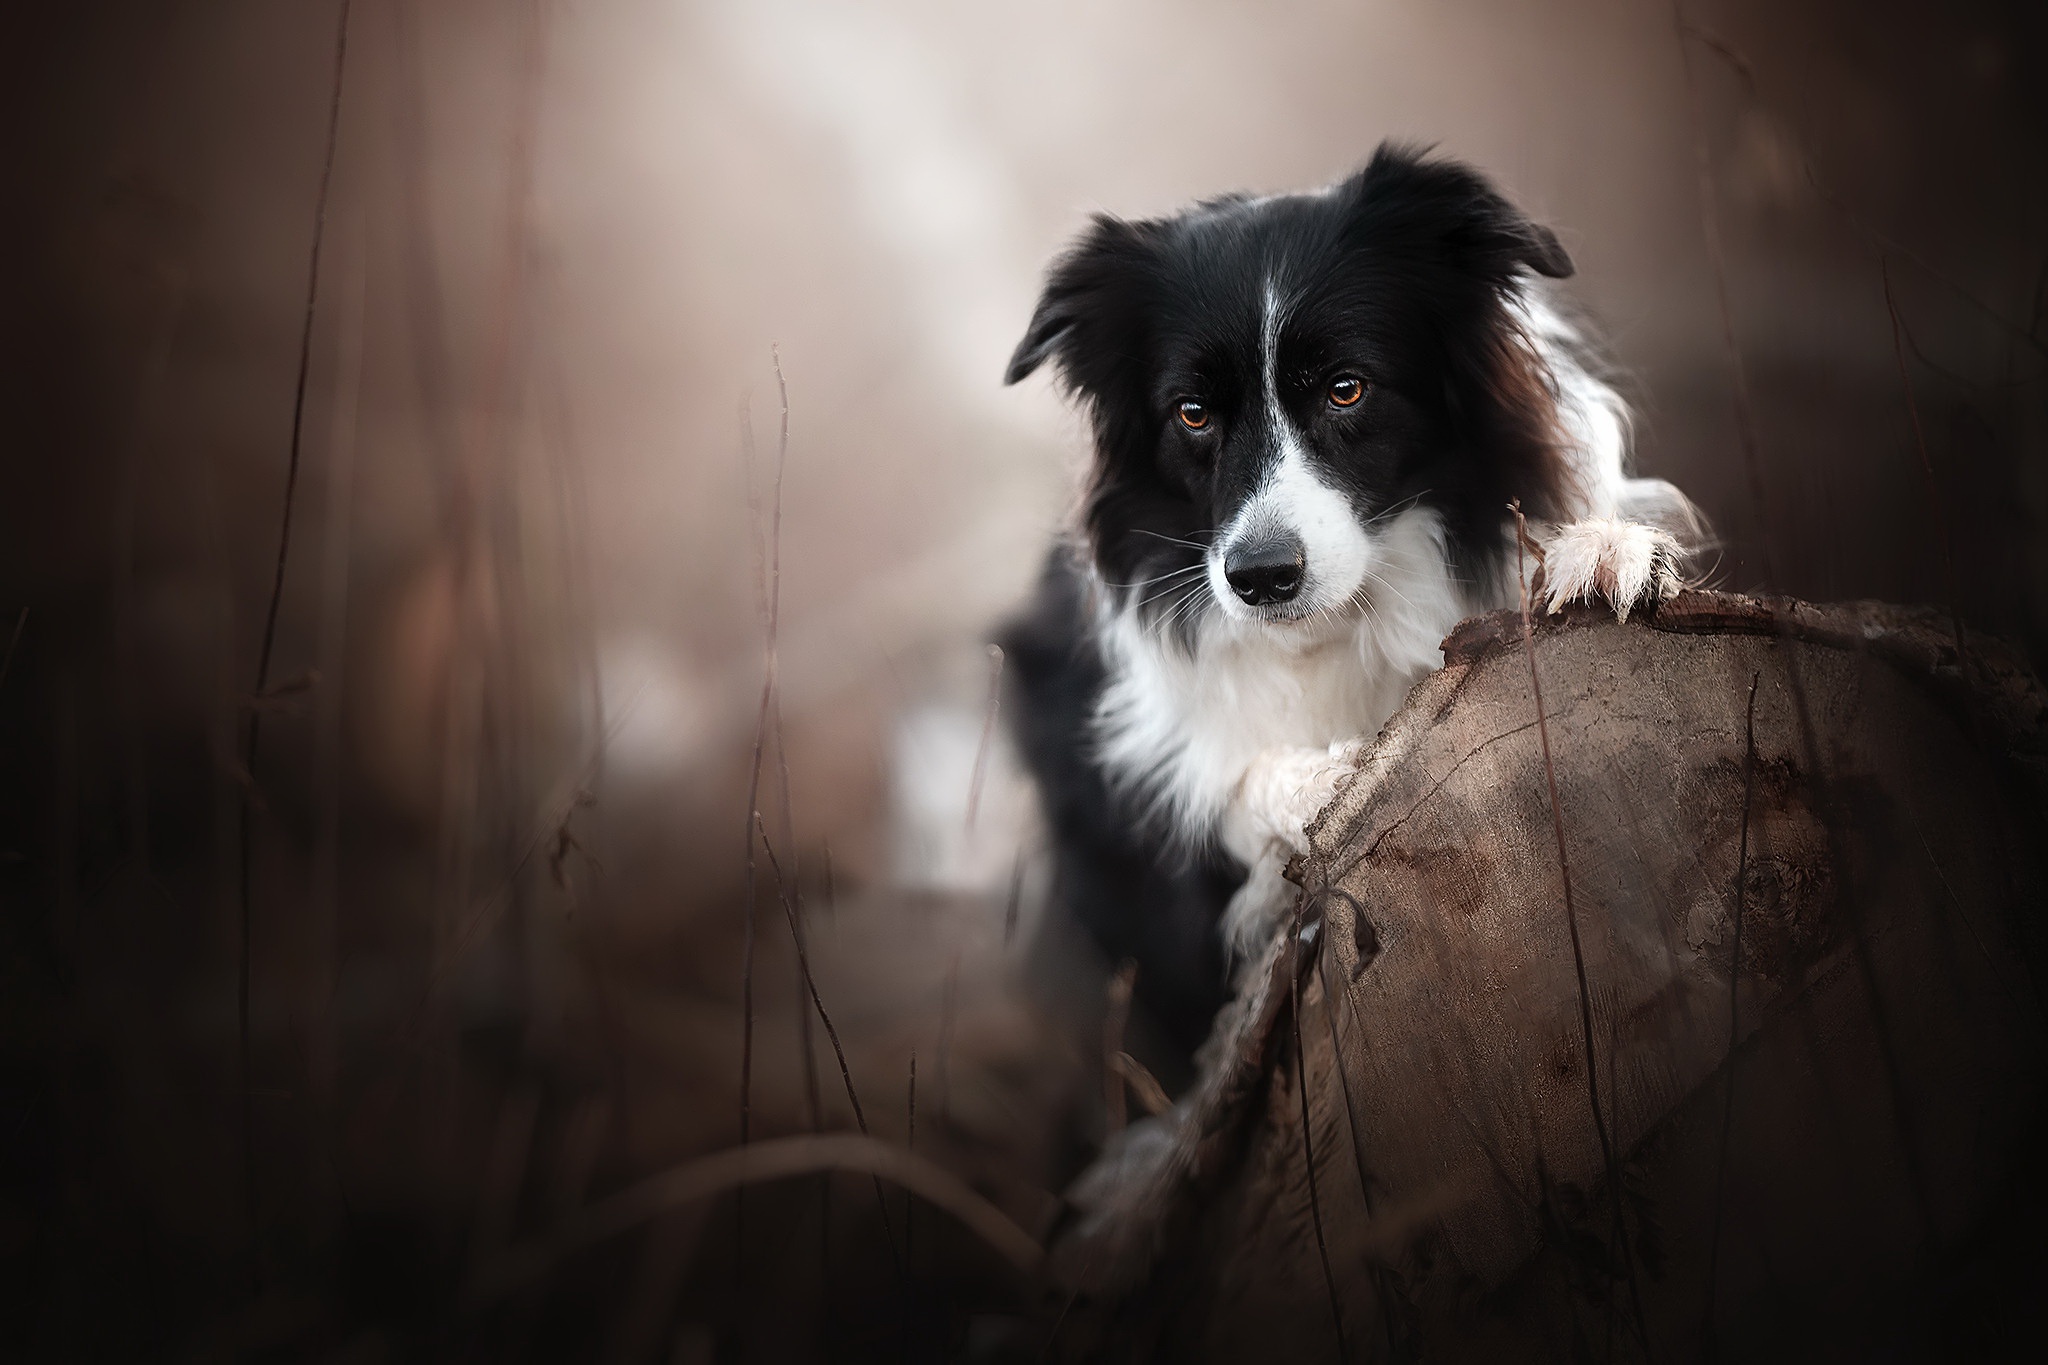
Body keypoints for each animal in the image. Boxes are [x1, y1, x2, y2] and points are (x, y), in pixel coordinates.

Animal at [1003, 147, 1695, 1047]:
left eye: (1346, 389)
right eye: (1192, 413)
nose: (1261, 578)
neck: (1344, 615)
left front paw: (1601, 549)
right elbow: (1229, 782)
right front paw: (1310, 782)